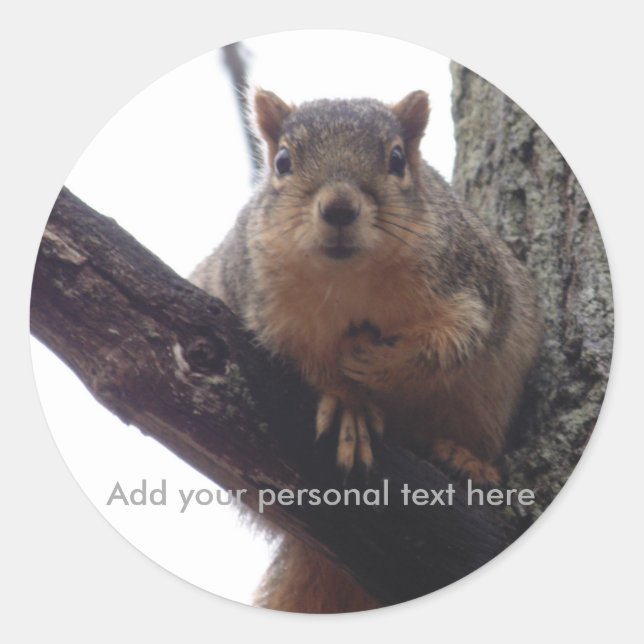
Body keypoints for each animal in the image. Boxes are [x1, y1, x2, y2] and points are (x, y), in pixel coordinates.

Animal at [190, 89, 543, 613]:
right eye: (282, 161)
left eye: (397, 159)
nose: (339, 208)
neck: (347, 279)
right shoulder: (260, 305)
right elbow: (302, 359)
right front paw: (348, 403)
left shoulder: (469, 285)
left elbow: (451, 342)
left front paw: (376, 364)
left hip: (490, 396)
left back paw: (462, 456)